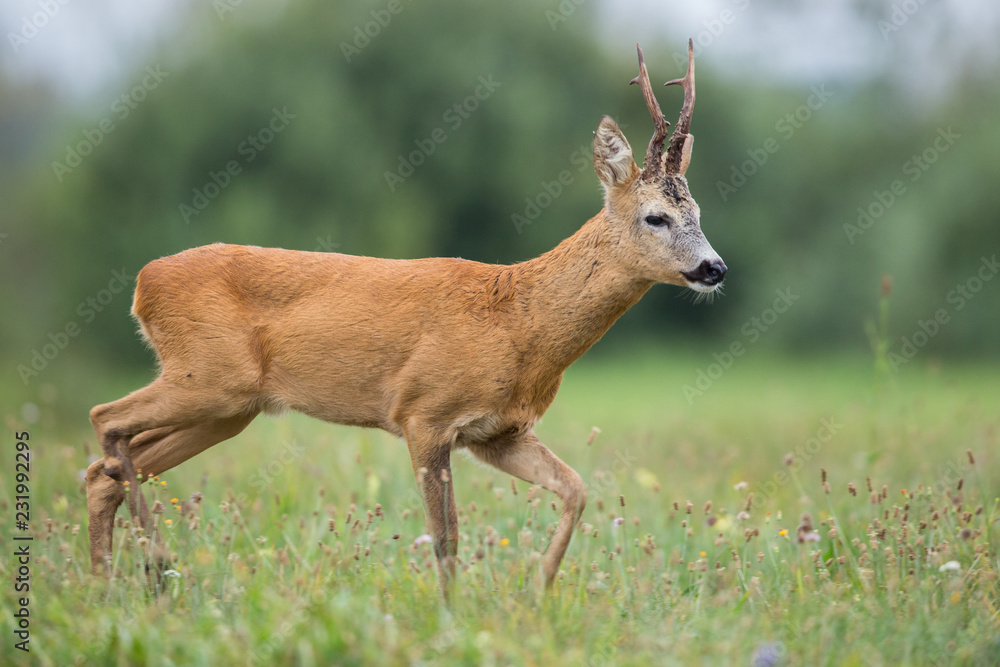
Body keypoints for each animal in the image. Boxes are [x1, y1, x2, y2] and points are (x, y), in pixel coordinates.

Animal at [86, 40, 725, 598]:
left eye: (697, 210)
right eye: (656, 217)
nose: (714, 267)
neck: (521, 322)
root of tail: (143, 284)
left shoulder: (499, 432)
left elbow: (576, 488)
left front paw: (538, 592)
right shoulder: (424, 413)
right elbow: (447, 538)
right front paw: (452, 615)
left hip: (229, 407)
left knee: (104, 470)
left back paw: (107, 589)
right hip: (211, 375)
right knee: (104, 419)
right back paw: (153, 564)